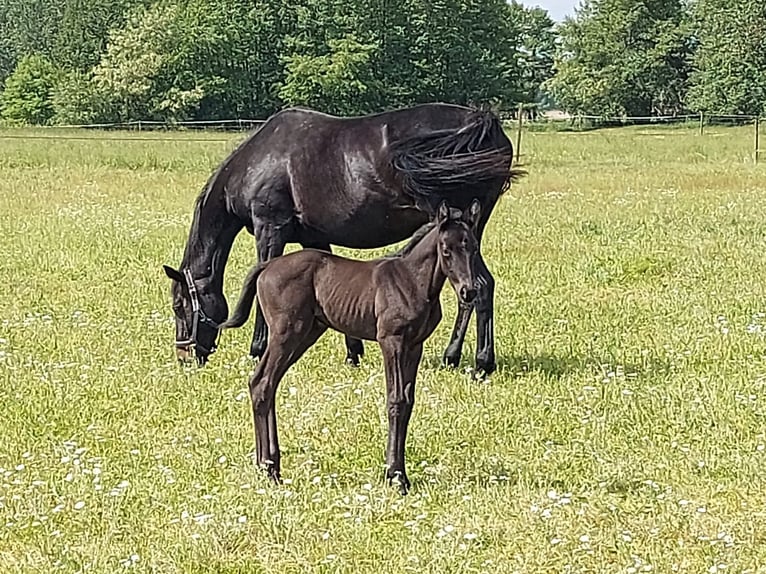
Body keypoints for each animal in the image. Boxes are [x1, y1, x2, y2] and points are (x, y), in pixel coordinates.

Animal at [162, 103, 520, 374]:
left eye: (180, 305)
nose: (184, 356)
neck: (260, 160)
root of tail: (483, 125)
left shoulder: (270, 229)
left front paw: (257, 348)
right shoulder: (314, 239)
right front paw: (353, 352)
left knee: (476, 289)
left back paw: (473, 360)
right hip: (468, 231)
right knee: (480, 288)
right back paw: (466, 359)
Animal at [222, 200, 484, 492]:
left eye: (473, 247)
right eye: (446, 250)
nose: (469, 292)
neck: (412, 281)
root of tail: (266, 267)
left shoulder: (414, 345)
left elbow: (408, 402)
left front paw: (400, 474)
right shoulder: (391, 341)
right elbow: (396, 400)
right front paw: (395, 477)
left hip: (305, 334)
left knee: (267, 384)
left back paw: (268, 466)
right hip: (285, 334)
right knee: (262, 382)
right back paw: (269, 469)